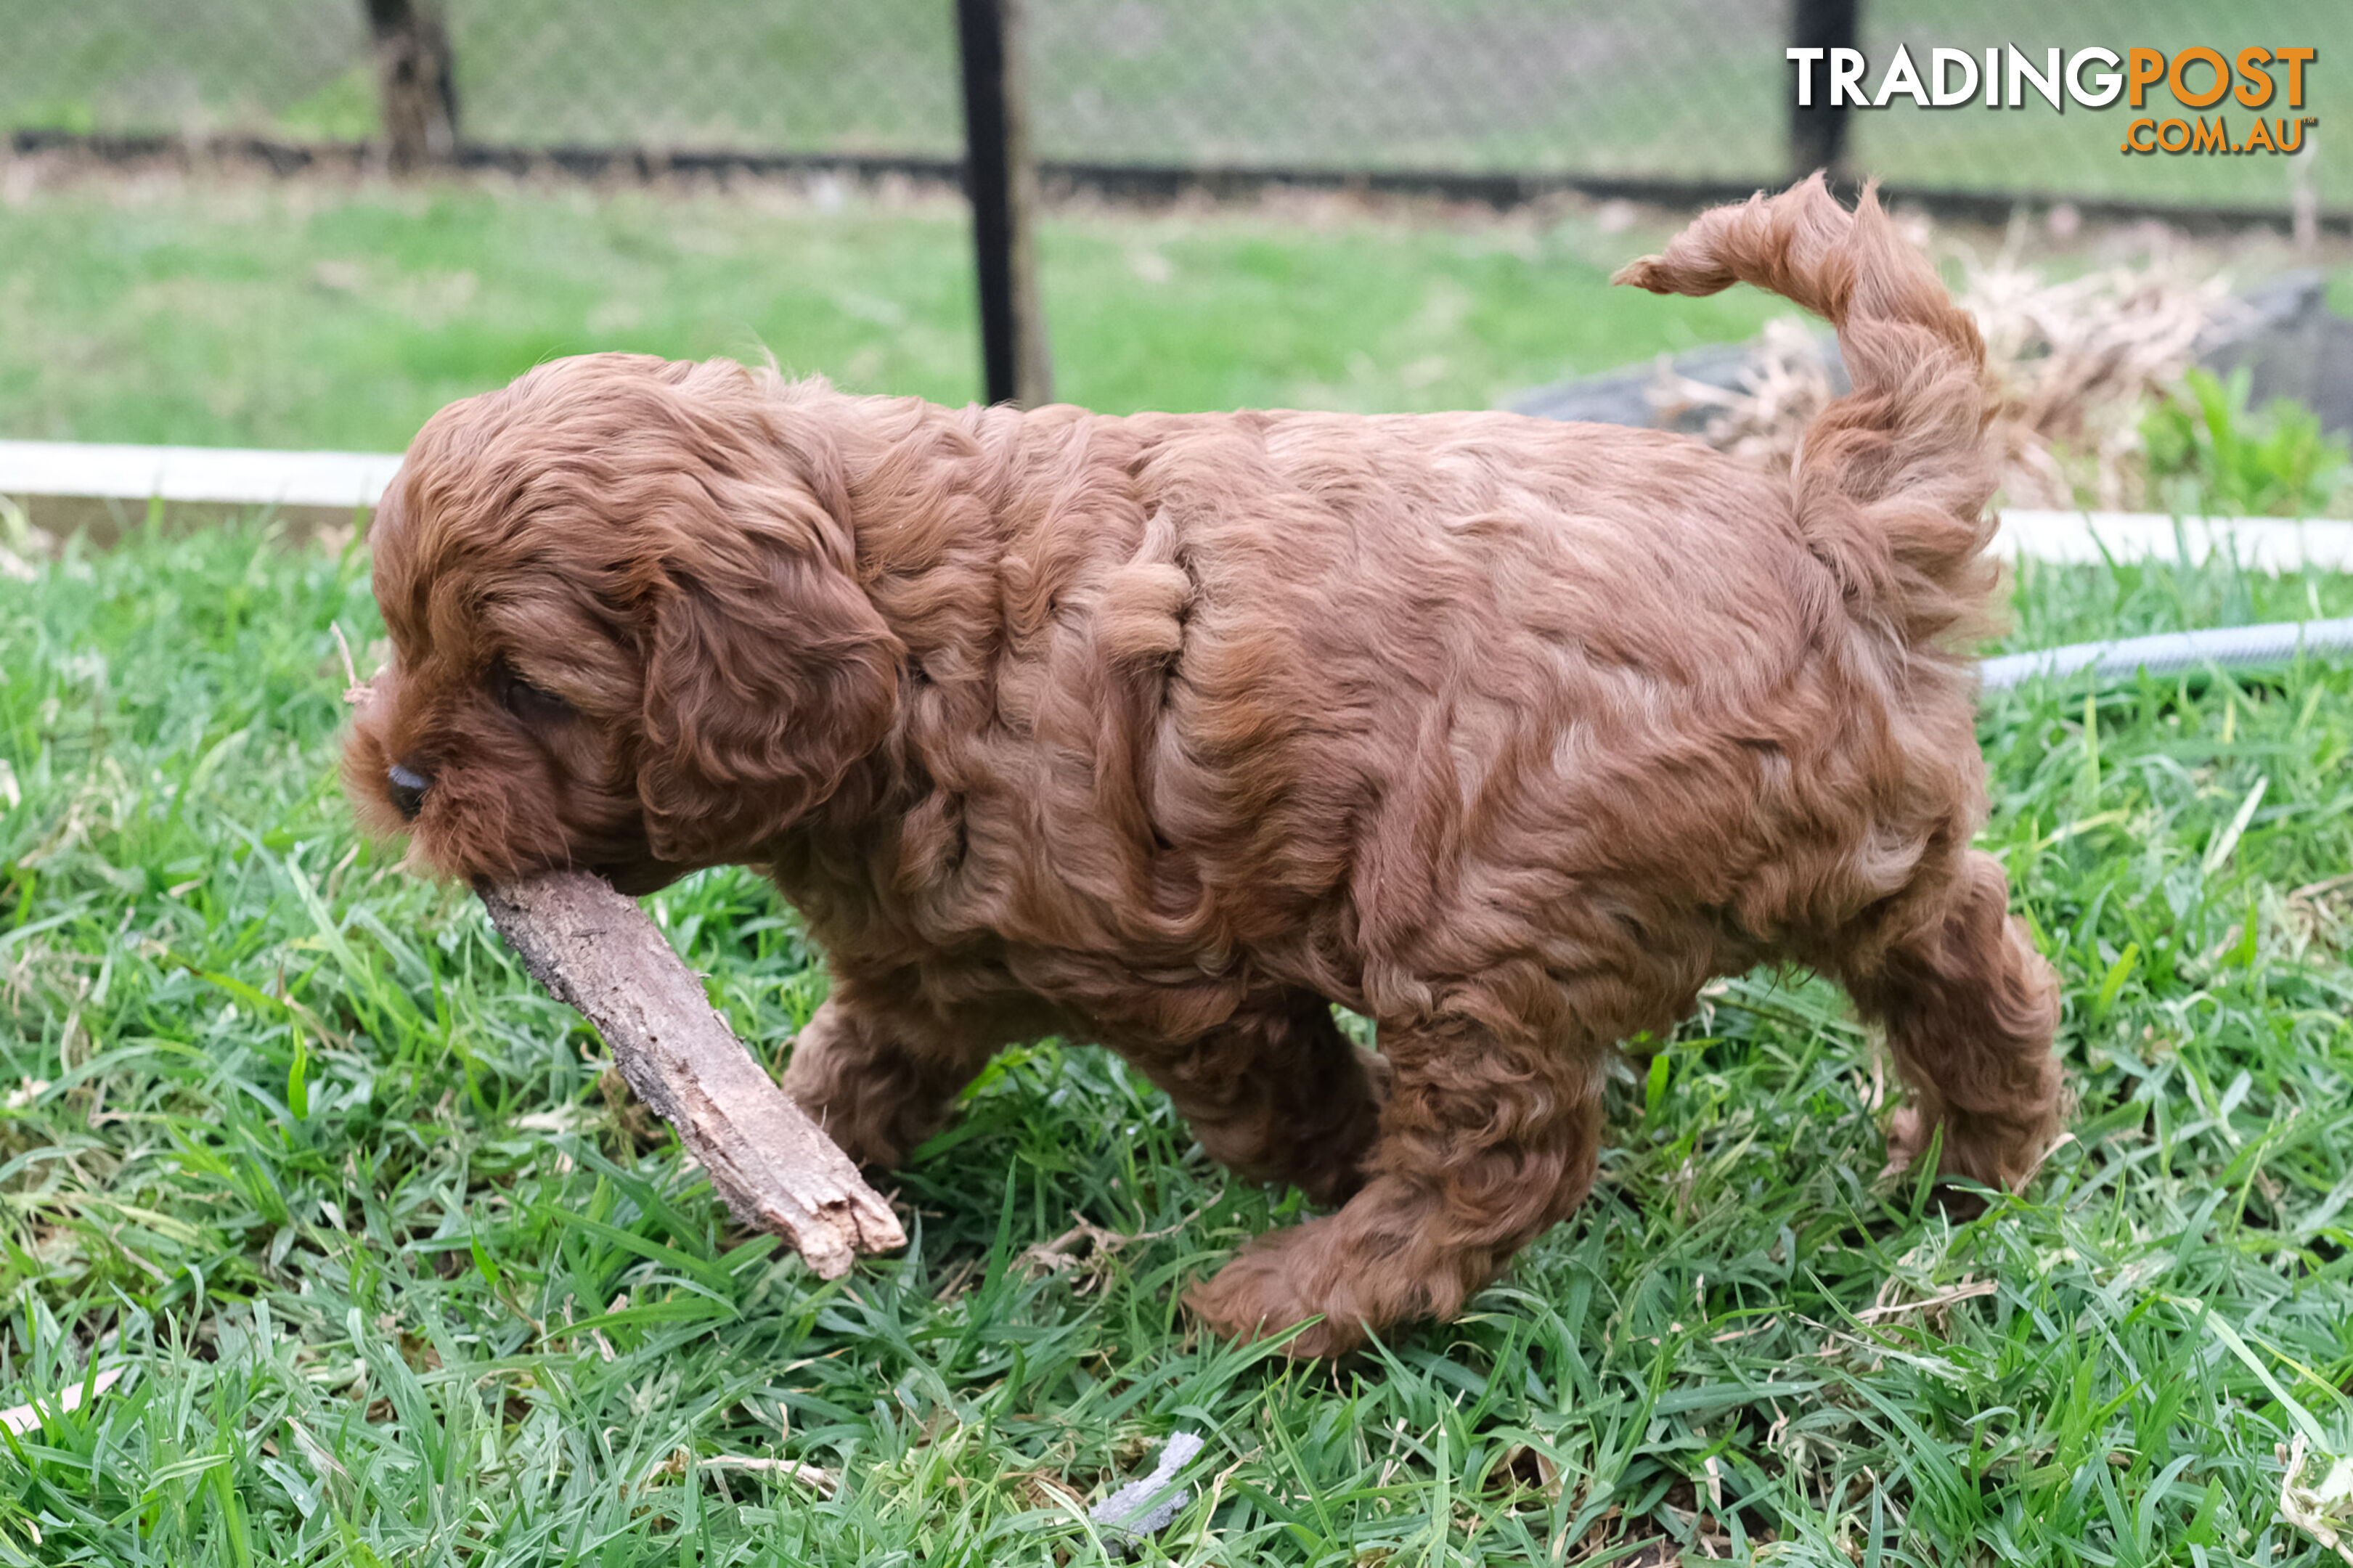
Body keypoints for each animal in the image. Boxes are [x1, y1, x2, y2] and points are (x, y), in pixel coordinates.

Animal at [348, 176, 2061, 1356]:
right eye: (399, 632)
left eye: (525, 685)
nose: (398, 783)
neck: (916, 641)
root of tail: (1828, 532)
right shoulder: (920, 971)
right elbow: (842, 1076)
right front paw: (782, 1167)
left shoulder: (1190, 979)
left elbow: (1289, 1105)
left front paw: (1330, 1172)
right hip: (1862, 849)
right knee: (1971, 960)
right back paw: (1969, 1164)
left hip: (1478, 897)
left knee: (1508, 1156)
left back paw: (1292, 1301)